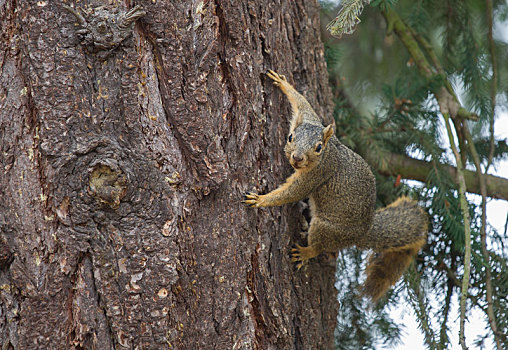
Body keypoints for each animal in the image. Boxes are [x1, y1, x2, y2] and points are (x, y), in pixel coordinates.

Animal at [244, 69, 426, 300]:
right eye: (290, 137)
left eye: (318, 147)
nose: (297, 158)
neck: (328, 153)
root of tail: (363, 232)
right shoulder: (307, 119)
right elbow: (304, 105)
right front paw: (284, 84)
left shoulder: (317, 175)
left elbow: (292, 193)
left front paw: (261, 200)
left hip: (326, 229)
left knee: (320, 246)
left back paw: (305, 252)